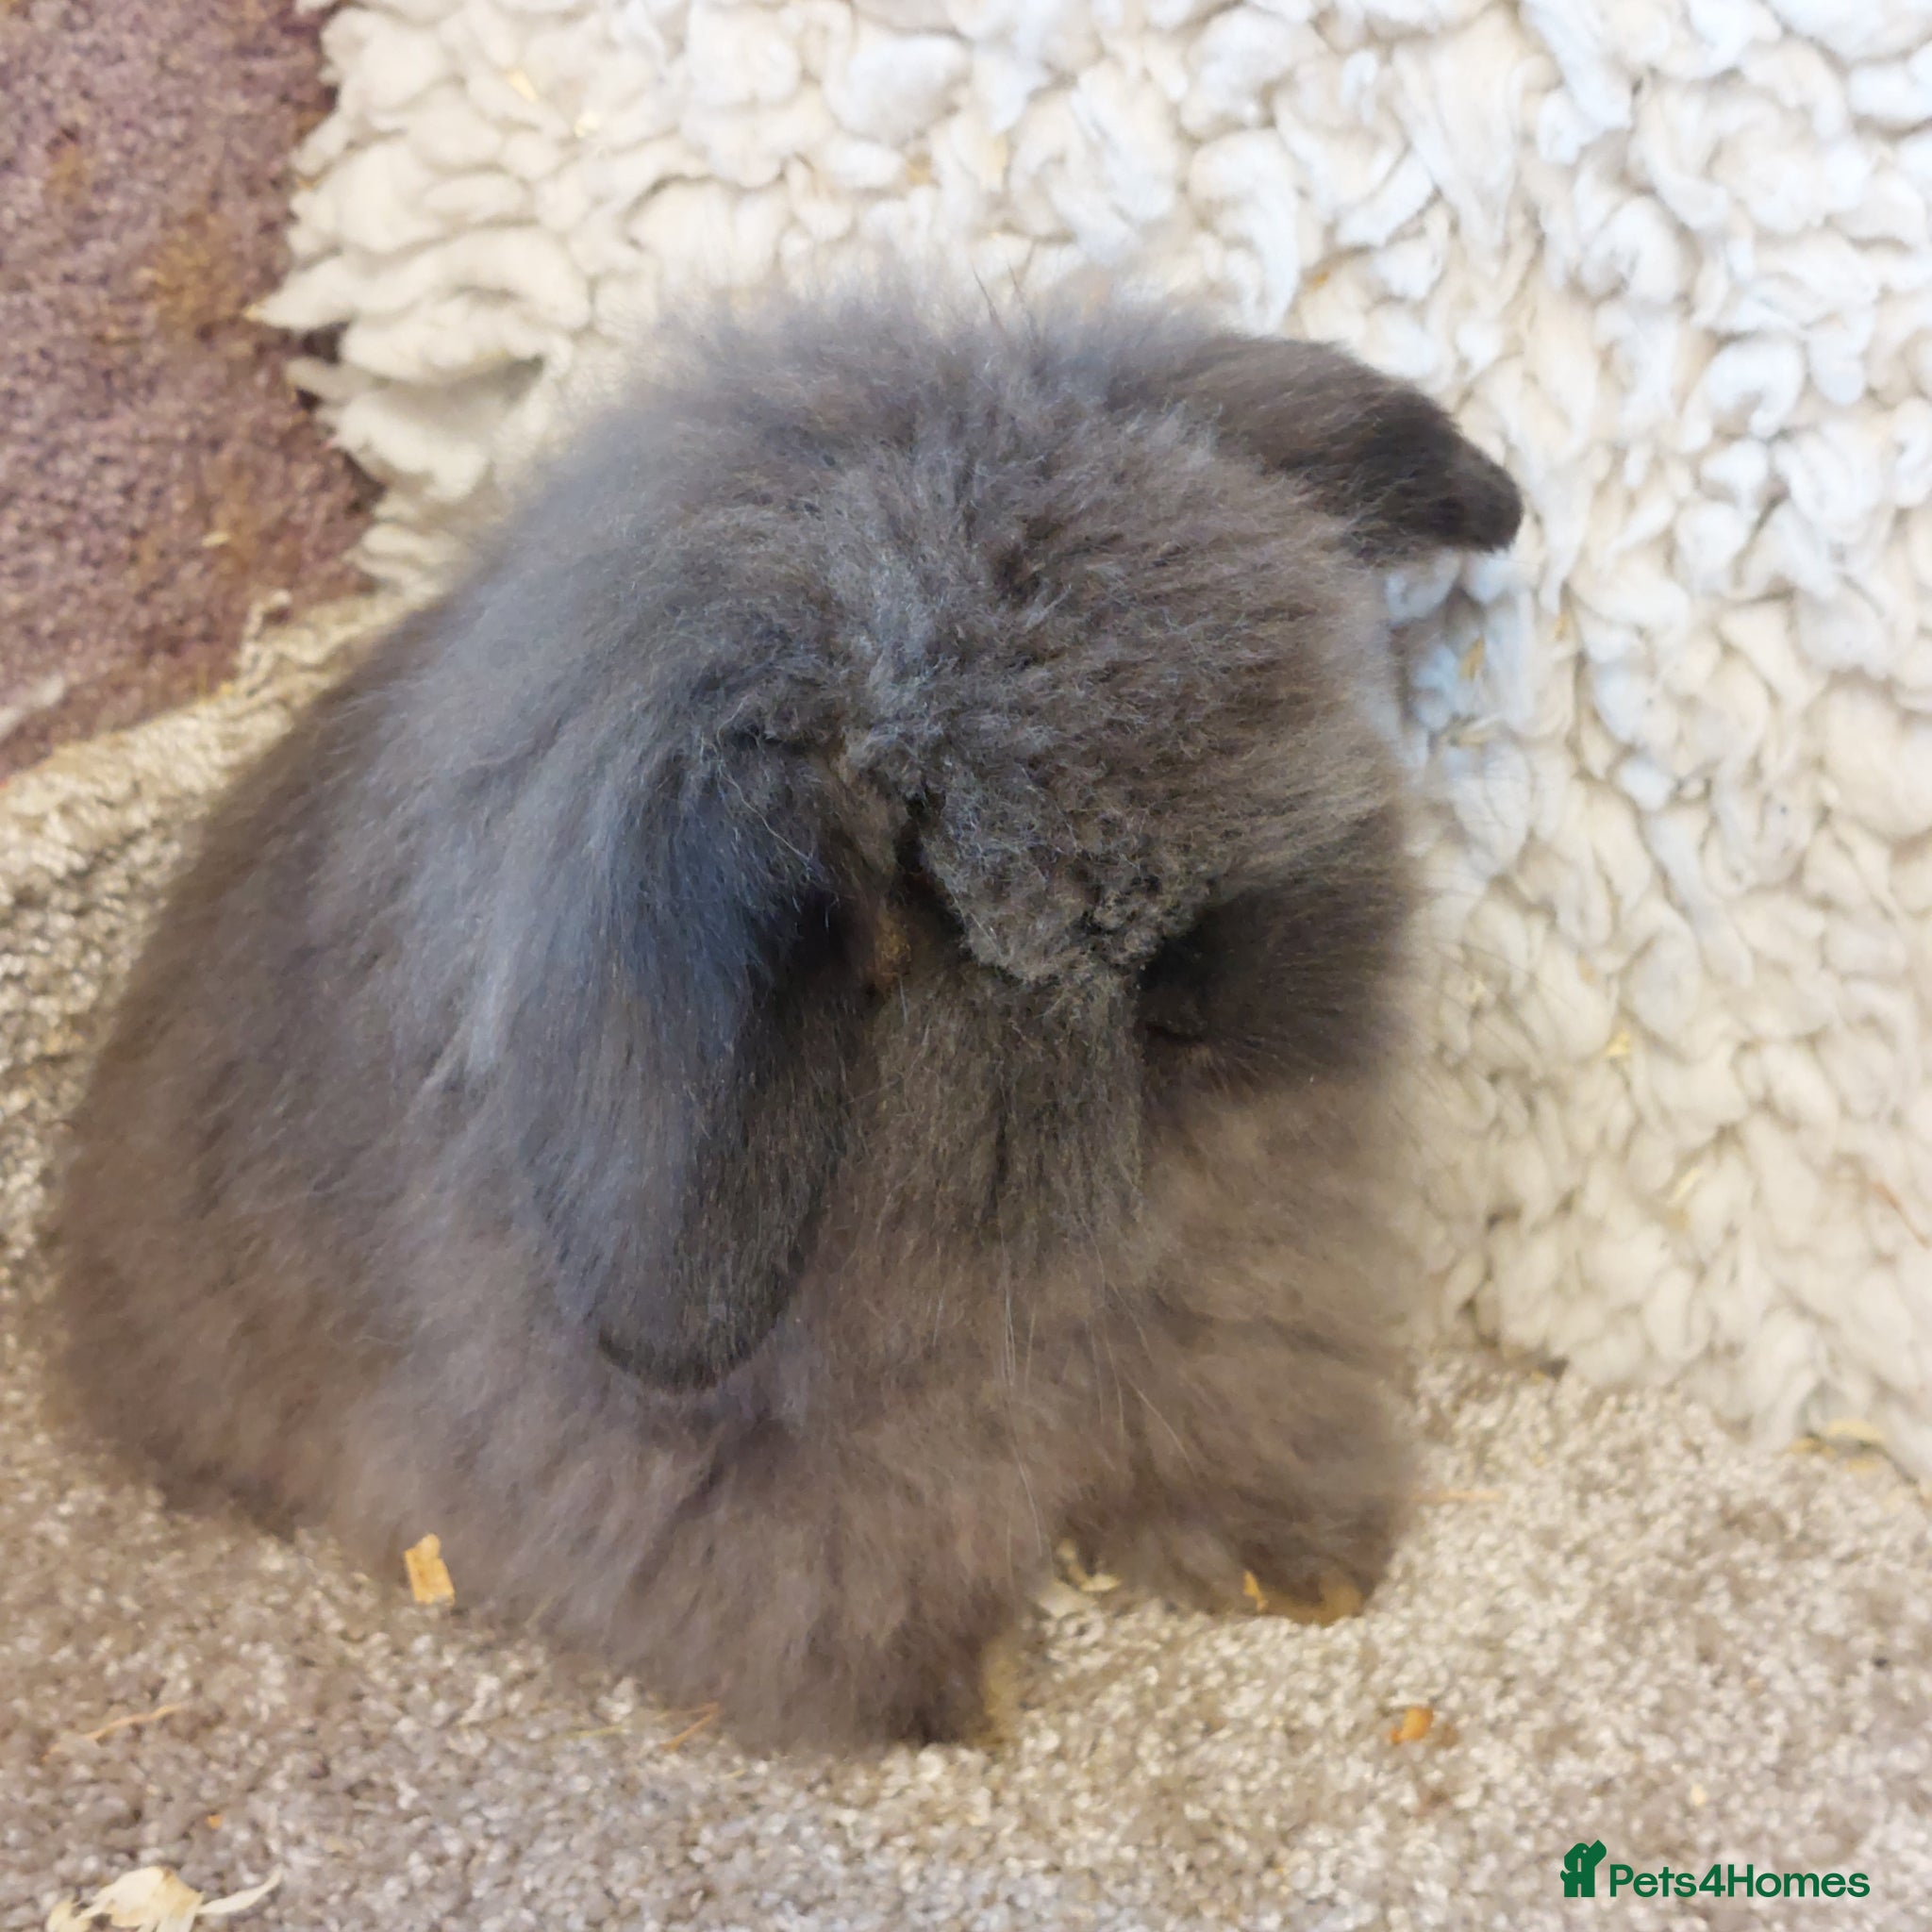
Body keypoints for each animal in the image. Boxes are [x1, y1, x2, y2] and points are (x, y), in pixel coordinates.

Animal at [52, 280, 1522, 1753]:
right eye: (917, 876)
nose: (1219, 991)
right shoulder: (742, 1465)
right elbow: (847, 1549)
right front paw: (960, 1692)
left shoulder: (1225, 1299)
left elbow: (1235, 1401)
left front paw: (1306, 1568)